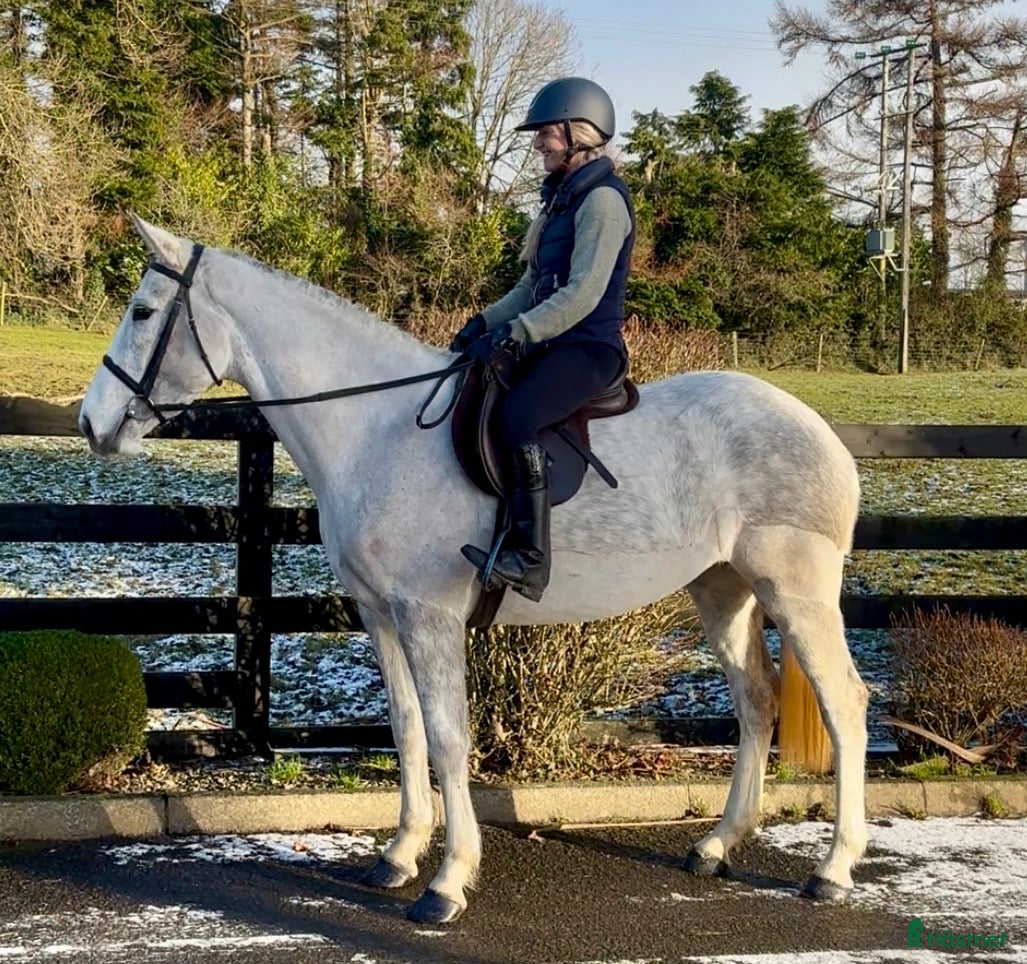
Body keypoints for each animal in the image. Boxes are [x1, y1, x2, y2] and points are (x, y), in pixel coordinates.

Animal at [79, 217, 869, 925]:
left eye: (142, 311)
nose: (91, 422)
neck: (377, 429)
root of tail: (817, 427)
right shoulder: (382, 615)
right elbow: (406, 730)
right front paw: (399, 855)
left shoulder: (429, 616)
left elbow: (448, 737)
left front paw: (447, 881)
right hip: (723, 590)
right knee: (755, 701)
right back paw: (717, 845)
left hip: (796, 593)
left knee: (843, 704)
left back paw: (832, 870)